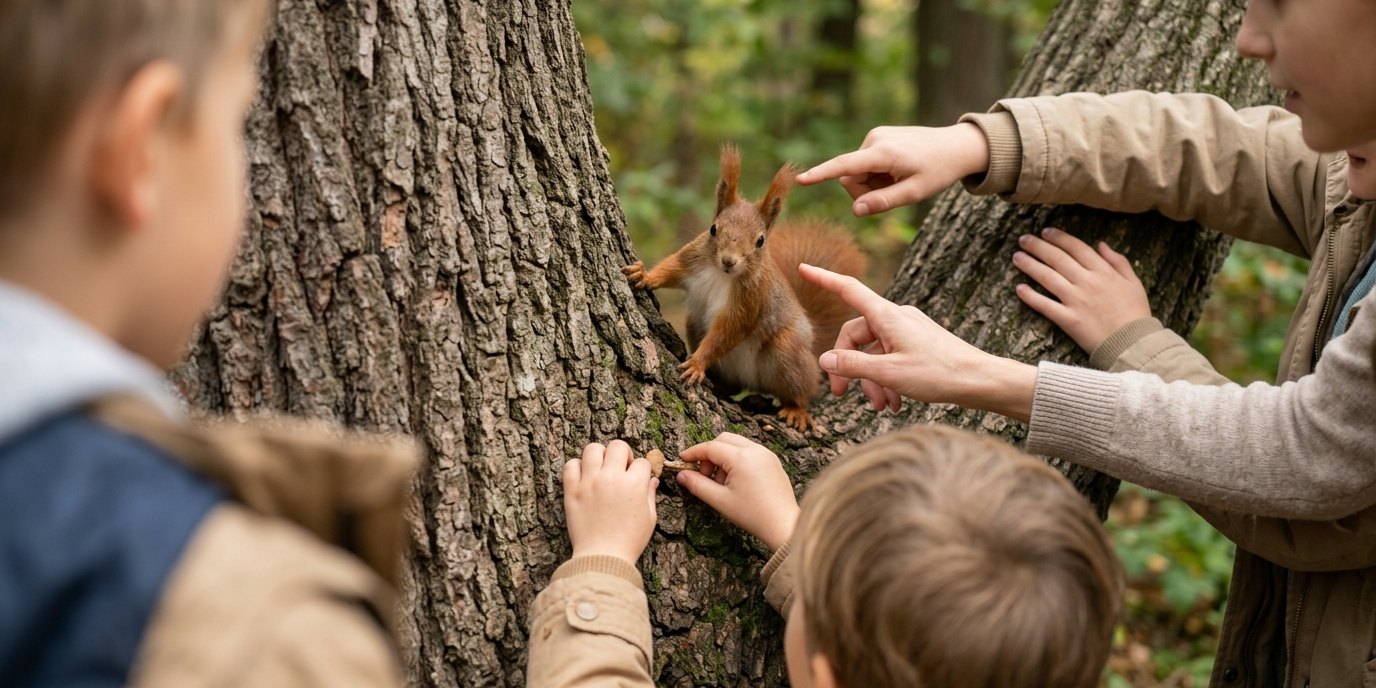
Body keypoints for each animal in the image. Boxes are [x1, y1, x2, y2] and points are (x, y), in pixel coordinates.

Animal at [622, 145, 867, 433]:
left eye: (760, 241)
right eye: (713, 229)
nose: (729, 261)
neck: (721, 274)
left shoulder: (751, 299)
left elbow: (729, 330)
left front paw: (697, 362)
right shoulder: (692, 259)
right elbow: (671, 269)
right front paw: (644, 275)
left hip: (788, 352)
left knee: (801, 389)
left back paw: (796, 410)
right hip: (696, 325)